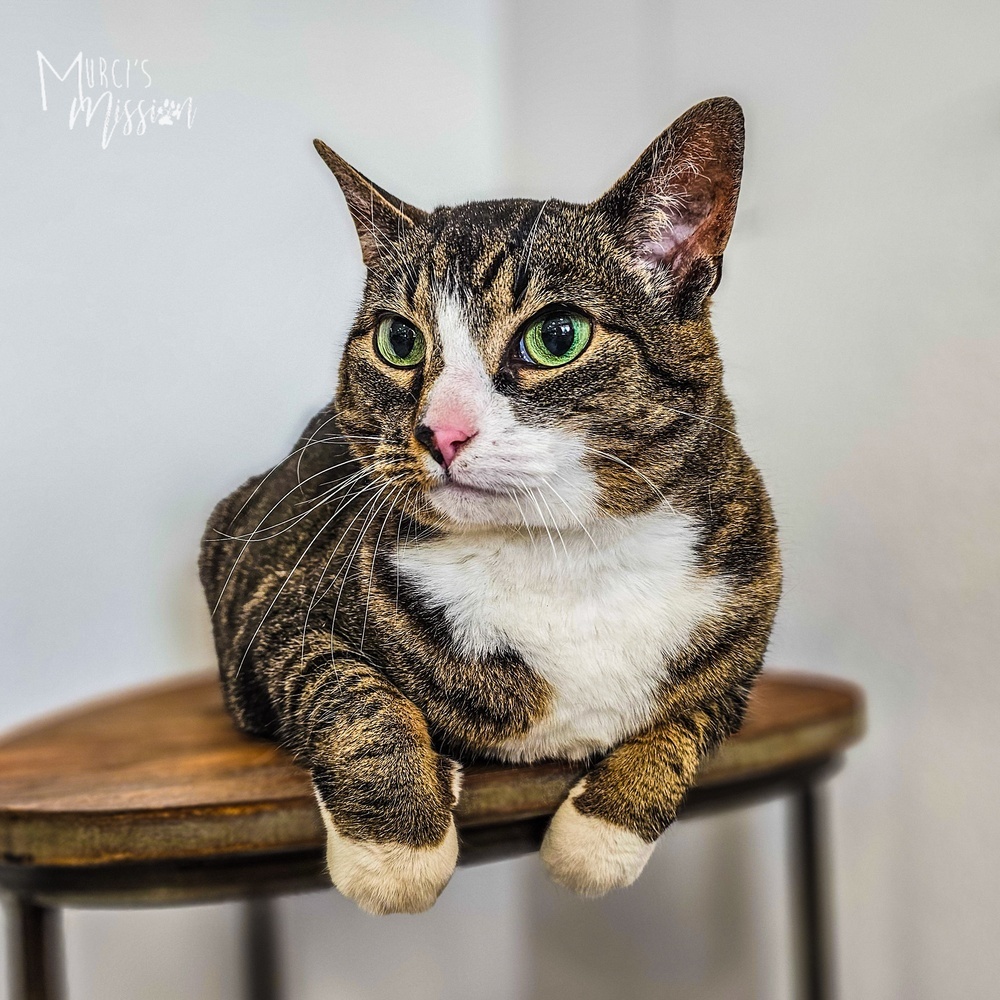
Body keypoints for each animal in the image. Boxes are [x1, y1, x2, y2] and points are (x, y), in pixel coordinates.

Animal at [201, 95, 780, 916]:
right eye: (399, 340)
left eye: (557, 336)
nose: (440, 431)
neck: (563, 560)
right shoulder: (275, 621)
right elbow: (353, 696)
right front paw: (397, 852)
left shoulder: (743, 639)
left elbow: (684, 724)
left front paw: (595, 845)